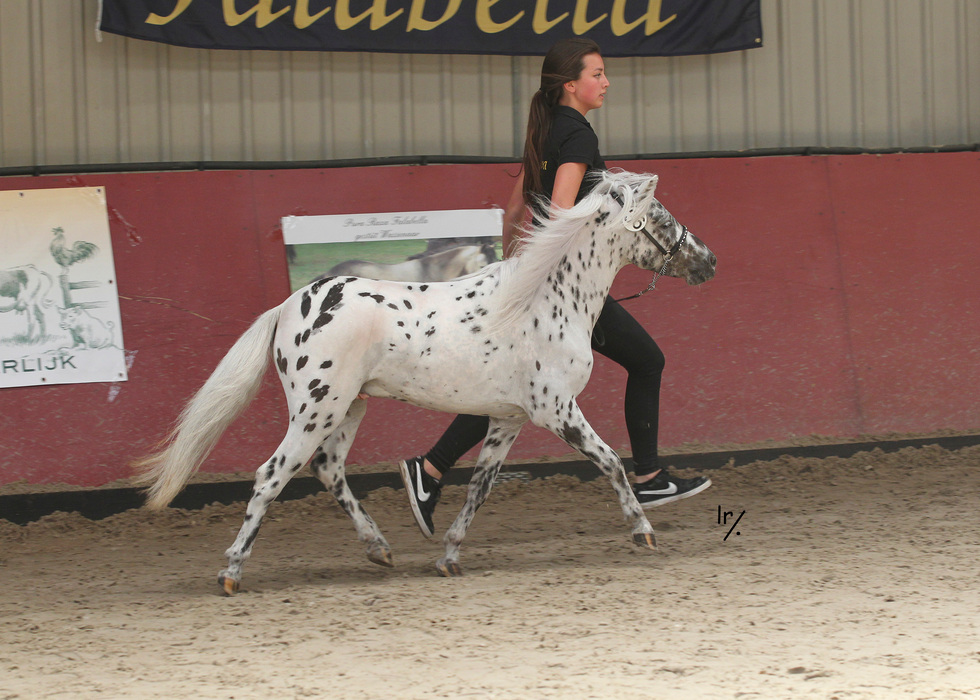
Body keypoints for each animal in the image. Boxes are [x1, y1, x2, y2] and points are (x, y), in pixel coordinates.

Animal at [134, 170, 716, 594]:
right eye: (662, 218)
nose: (708, 260)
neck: (544, 302)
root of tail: (290, 305)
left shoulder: (508, 419)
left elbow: (479, 488)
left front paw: (450, 556)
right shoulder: (556, 409)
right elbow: (612, 461)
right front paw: (643, 532)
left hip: (348, 408)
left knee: (328, 469)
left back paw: (379, 548)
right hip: (317, 410)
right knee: (270, 475)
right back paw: (232, 571)